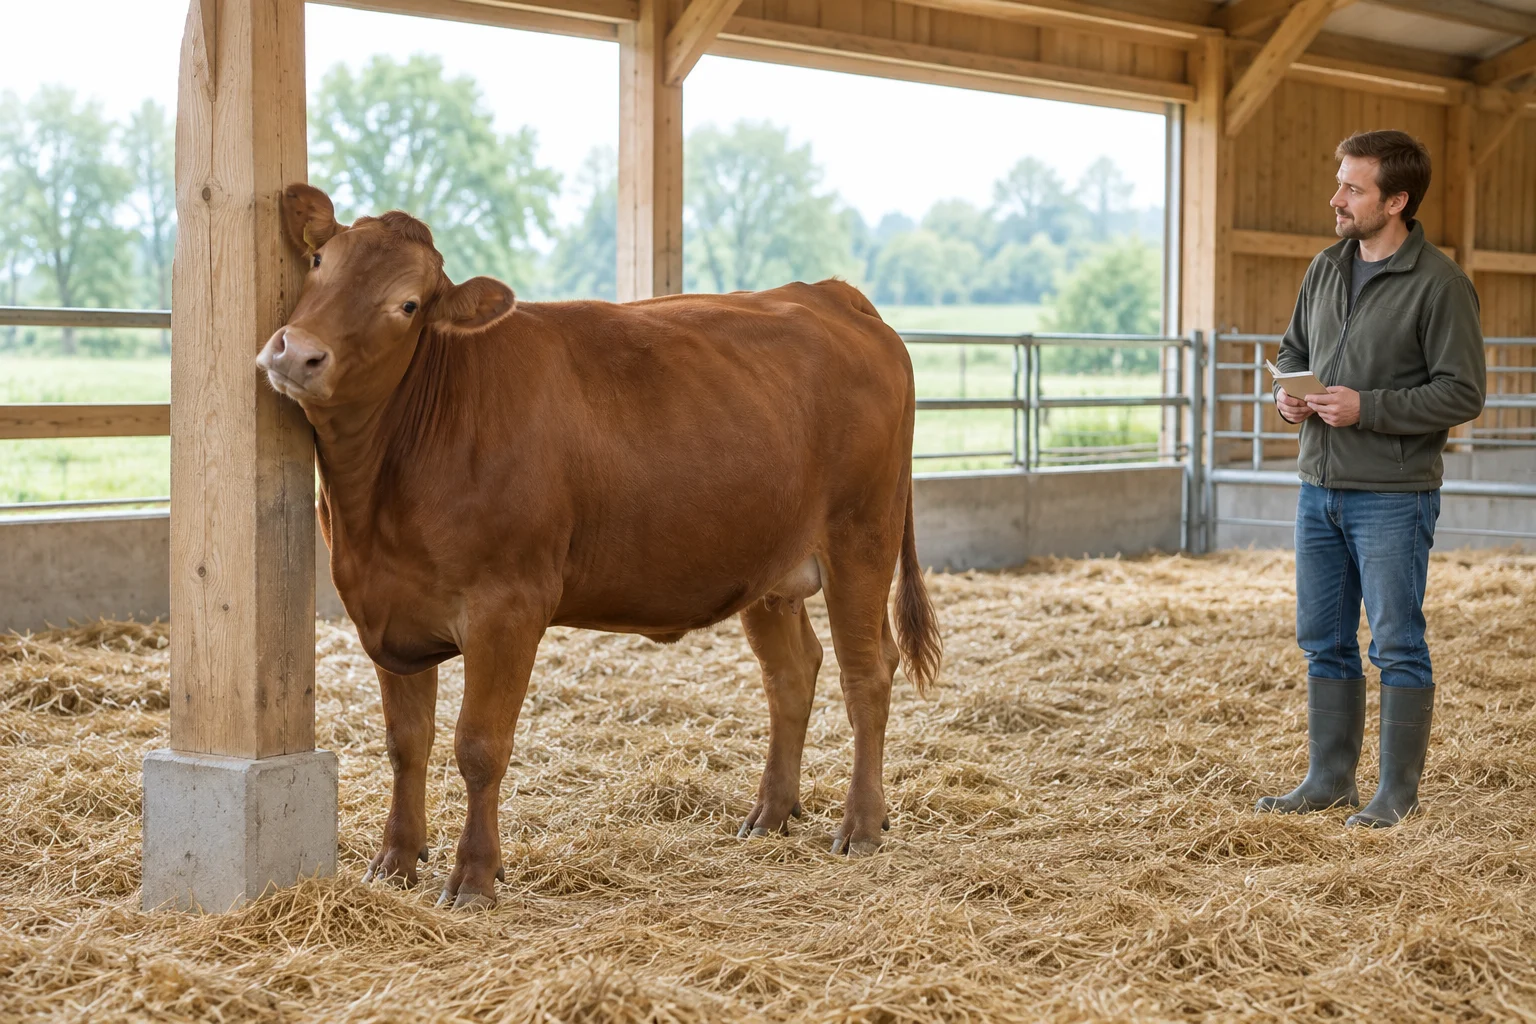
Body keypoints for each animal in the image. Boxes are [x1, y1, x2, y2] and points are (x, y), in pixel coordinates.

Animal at [257, 184, 943, 909]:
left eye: (408, 305)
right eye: (320, 262)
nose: (297, 353)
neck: (377, 501)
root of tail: (829, 293)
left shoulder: (509, 607)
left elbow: (480, 746)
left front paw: (475, 876)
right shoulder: (389, 608)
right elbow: (406, 743)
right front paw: (395, 860)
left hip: (861, 540)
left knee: (867, 673)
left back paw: (861, 823)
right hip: (770, 567)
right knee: (790, 674)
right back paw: (771, 813)